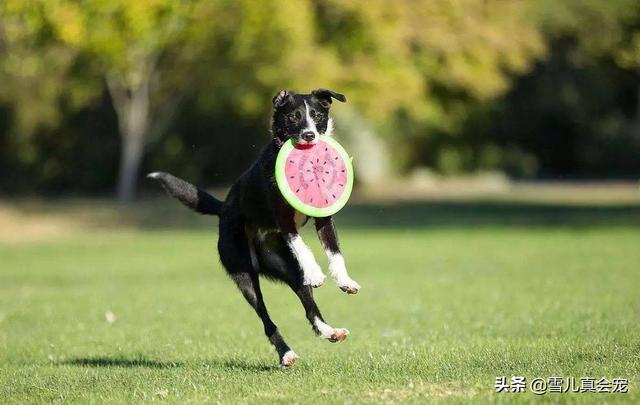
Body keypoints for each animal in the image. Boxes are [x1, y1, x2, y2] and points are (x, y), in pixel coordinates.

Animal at [149, 88, 360, 366]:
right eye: (293, 116)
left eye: (316, 115)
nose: (309, 135)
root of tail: (224, 208)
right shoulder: (284, 220)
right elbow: (302, 246)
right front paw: (316, 272)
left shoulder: (324, 217)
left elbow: (334, 252)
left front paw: (345, 281)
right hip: (244, 275)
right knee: (265, 318)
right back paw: (286, 353)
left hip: (289, 268)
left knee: (308, 306)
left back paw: (329, 331)